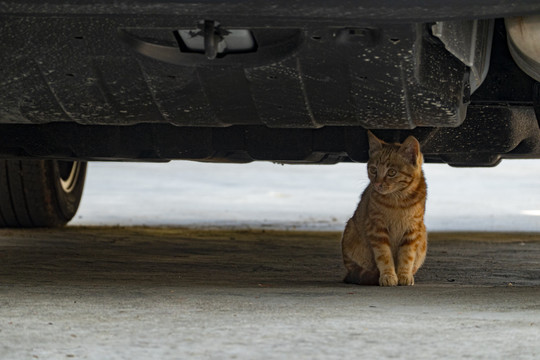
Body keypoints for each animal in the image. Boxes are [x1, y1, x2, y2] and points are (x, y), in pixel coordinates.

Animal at [342, 132, 426, 286]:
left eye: (391, 172)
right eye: (373, 169)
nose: (377, 184)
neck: (398, 201)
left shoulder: (412, 230)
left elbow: (407, 256)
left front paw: (404, 275)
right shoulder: (377, 229)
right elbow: (384, 255)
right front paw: (388, 276)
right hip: (351, 231)